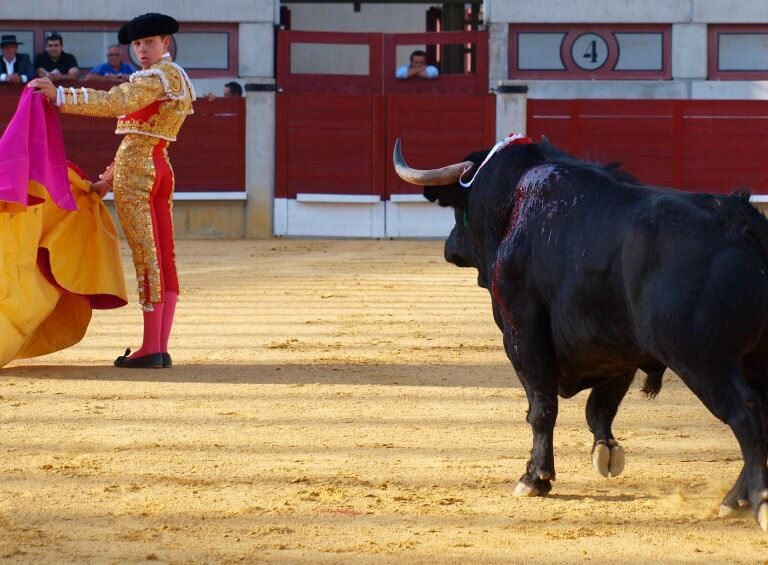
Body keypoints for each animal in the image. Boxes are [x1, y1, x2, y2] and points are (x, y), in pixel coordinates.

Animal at [396, 137, 768, 528]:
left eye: (457, 209)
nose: (449, 246)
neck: (513, 203)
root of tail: (743, 222)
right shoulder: (616, 347)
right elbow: (600, 406)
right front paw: (606, 451)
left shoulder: (522, 331)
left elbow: (541, 406)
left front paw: (535, 478)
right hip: (752, 359)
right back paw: (735, 498)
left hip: (704, 361)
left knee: (745, 412)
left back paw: (754, 500)